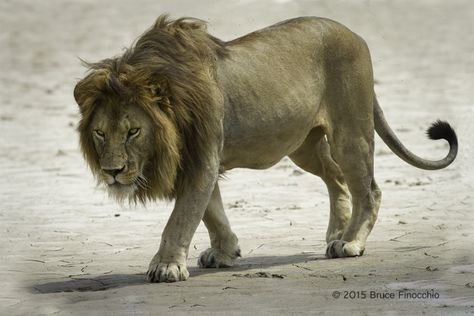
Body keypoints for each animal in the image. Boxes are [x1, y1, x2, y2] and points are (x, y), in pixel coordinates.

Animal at [75, 14, 460, 282]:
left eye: (133, 131)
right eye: (100, 133)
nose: (112, 172)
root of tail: (354, 34)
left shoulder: (202, 160)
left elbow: (181, 218)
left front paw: (166, 266)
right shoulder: (199, 160)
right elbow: (212, 211)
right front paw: (225, 251)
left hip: (351, 132)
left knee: (369, 189)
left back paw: (350, 242)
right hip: (304, 145)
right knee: (336, 178)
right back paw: (338, 232)